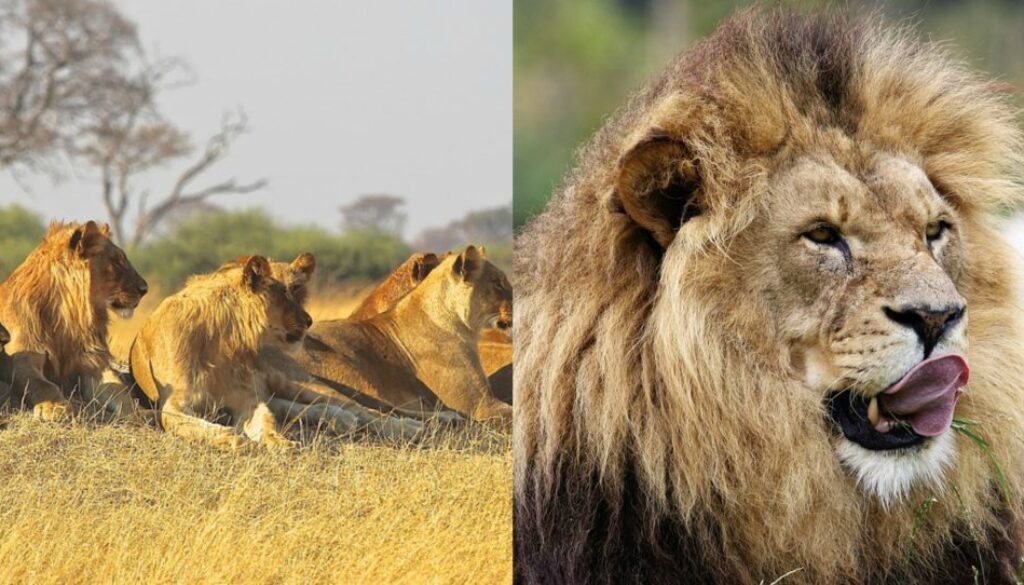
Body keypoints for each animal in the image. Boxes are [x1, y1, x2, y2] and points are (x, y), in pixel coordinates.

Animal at [0, 221, 148, 420]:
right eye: (117, 261)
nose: (145, 289)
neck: (67, 318)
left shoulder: (92, 364)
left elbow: (119, 390)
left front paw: (137, 413)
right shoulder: (20, 360)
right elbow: (43, 385)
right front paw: (55, 407)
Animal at [129, 256, 309, 450]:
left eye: (296, 288)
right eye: (284, 292)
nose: (309, 321)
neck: (222, 340)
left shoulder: (246, 398)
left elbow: (266, 421)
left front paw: (281, 442)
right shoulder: (173, 402)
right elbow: (198, 426)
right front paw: (236, 440)